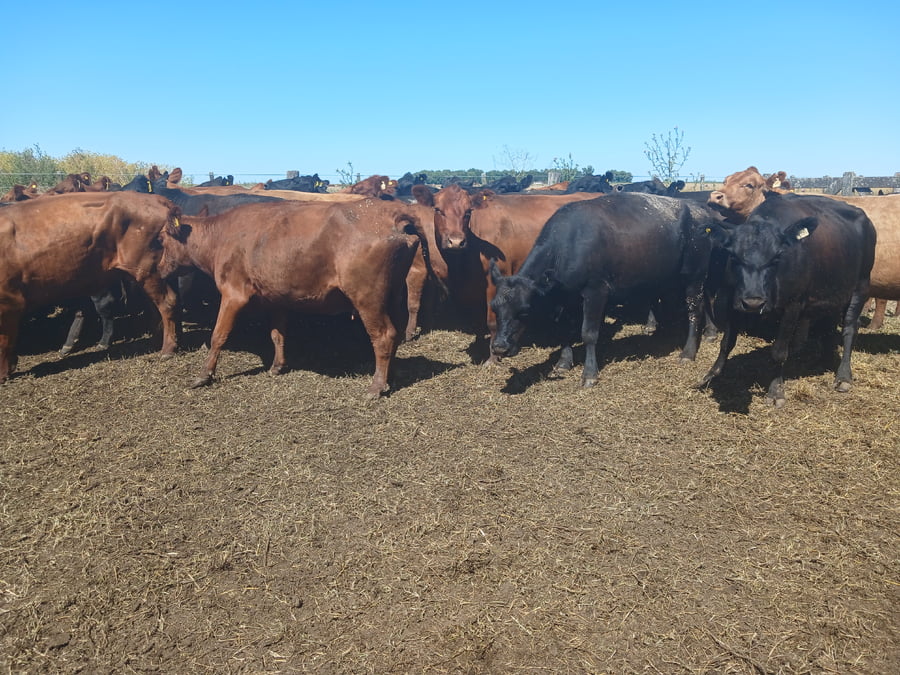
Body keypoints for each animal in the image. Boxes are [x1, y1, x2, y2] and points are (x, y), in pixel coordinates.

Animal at [0, 192, 180, 382]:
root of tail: (156, 199)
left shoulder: (9, 301)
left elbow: (4, 340)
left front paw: (3, 373)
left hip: (147, 271)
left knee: (167, 304)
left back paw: (168, 349)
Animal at [156, 198, 444, 396]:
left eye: (161, 240)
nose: (159, 269)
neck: (221, 237)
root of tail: (389, 211)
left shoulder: (233, 293)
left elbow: (218, 336)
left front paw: (203, 376)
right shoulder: (276, 297)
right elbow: (277, 333)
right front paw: (277, 366)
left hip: (368, 297)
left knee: (384, 336)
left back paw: (376, 386)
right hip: (393, 293)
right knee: (395, 332)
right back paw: (389, 377)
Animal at [488, 193, 723, 387]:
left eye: (524, 311)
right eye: (495, 309)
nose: (499, 347)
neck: (569, 244)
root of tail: (700, 208)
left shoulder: (596, 292)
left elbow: (589, 333)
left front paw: (589, 374)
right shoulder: (566, 298)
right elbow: (564, 330)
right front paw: (563, 362)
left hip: (695, 275)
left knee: (694, 310)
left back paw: (688, 352)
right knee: (706, 300)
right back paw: (709, 332)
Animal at [699, 192, 876, 408]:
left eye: (776, 258)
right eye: (733, 257)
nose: (754, 303)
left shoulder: (793, 305)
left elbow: (779, 351)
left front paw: (776, 391)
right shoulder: (735, 301)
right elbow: (727, 342)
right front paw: (713, 373)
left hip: (861, 286)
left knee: (850, 327)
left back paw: (843, 376)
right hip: (833, 292)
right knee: (828, 326)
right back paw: (823, 361)